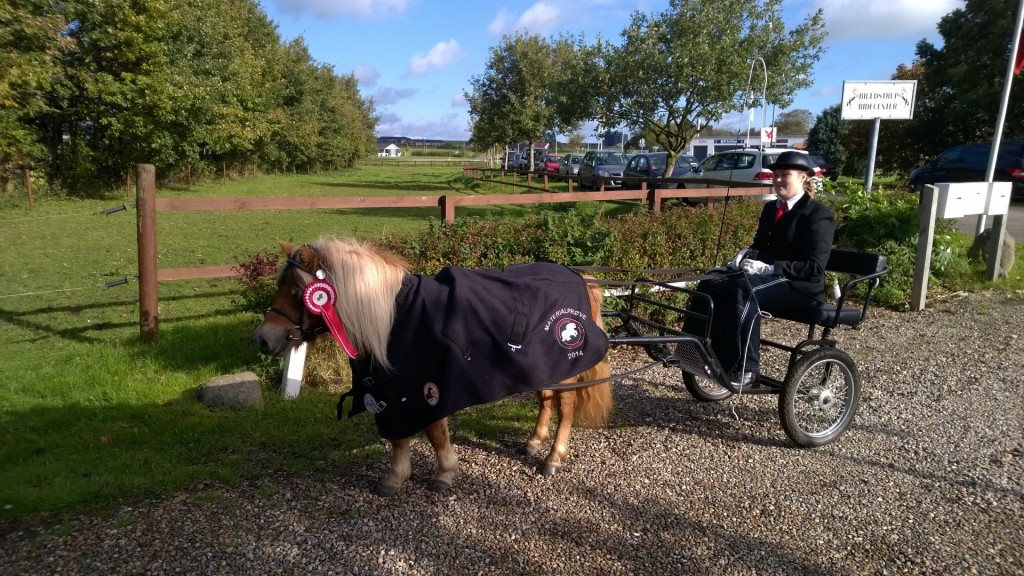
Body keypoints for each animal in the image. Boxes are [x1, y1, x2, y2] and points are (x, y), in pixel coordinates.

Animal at [252, 235, 610, 496]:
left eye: (297, 292)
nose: (263, 339)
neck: (394, 319)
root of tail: (579, 278)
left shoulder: (430, 388)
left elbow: (436, 434)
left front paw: (444, 475)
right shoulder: (390, 392)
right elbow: (397, 437)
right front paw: (395, 479)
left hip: (567, 370)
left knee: (565, 407)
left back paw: (553, 457)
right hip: (540, 367)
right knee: (546, 400)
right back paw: (534, 442)